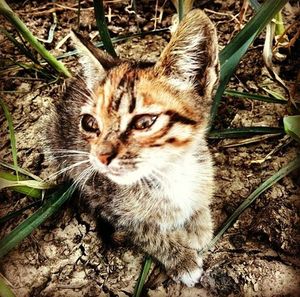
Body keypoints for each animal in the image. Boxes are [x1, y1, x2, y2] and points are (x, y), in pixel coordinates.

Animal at [44, 9, 218, 286]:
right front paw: (181, 258)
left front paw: (200, 225)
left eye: (144, 123)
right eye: (90, 123)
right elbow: (146, 232)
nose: (101, 157)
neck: (169, 172)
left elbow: (200, 200)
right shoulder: (108, 204)